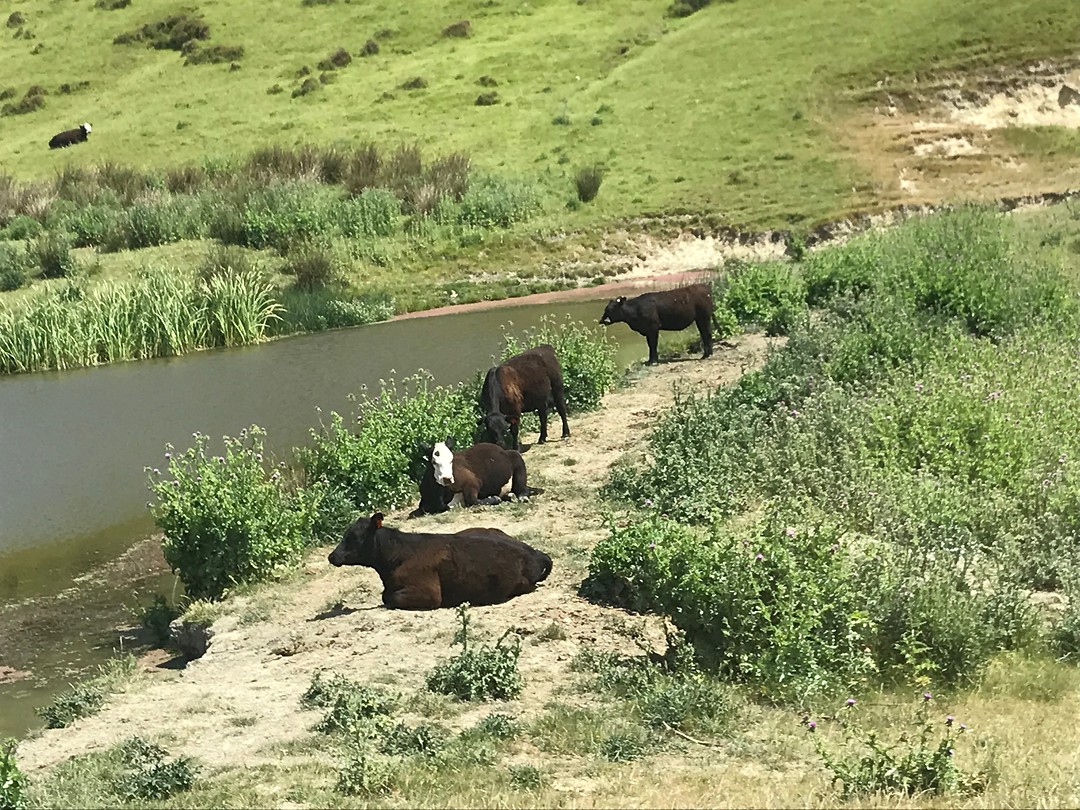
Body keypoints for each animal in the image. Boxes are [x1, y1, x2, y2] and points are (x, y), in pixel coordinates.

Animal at [410, 438, 543, 517]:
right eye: (434, 462)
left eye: (451, 460)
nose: (447, 478)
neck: (440, 496)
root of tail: (502, 450)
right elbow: (421, 509)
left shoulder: (473, 481)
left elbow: (471, 500)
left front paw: (493, 498)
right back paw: (509, 495)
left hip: (516, 457)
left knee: (522, 489)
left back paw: (520, 497)